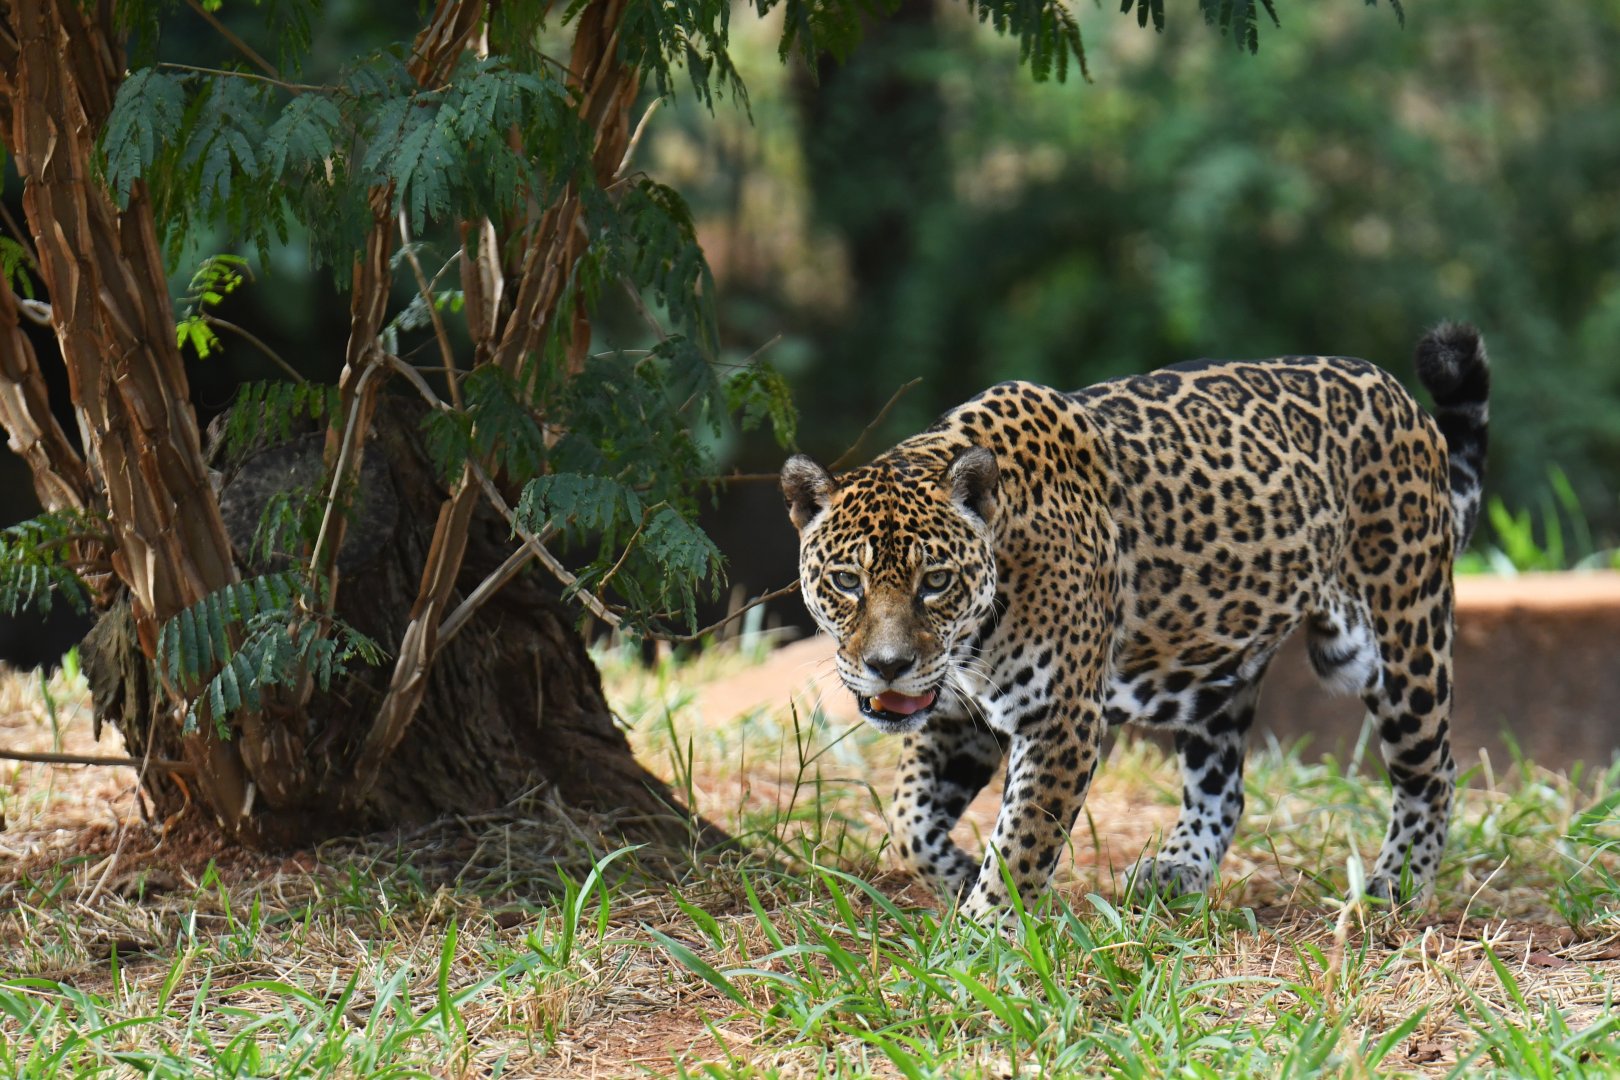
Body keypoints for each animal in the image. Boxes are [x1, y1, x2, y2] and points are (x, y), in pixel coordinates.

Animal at [780, 324, 1489, 920]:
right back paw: (1178, 870)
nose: (888, 667)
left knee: (1433, 772)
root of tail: (1402, 399)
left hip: (1402, 638)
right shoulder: (958, 716)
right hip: (1215, 669)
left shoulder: (1060, 718)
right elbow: (908, 819)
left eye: (935, 582)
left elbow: (1022, 842)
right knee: (1223, 786)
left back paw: (1397, 886)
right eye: (847, 581)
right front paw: (957, 877)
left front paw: (984, 937)